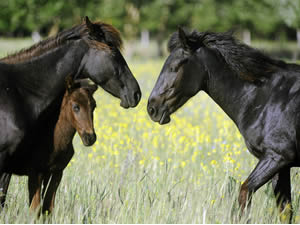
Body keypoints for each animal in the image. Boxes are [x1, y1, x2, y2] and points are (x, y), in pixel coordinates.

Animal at [148, 27, 300, 221]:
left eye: (174, 67)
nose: (152, 108)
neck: (266, 97)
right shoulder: (281, 167)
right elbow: (285, 211)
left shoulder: (277, 157)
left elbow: (244, 193)